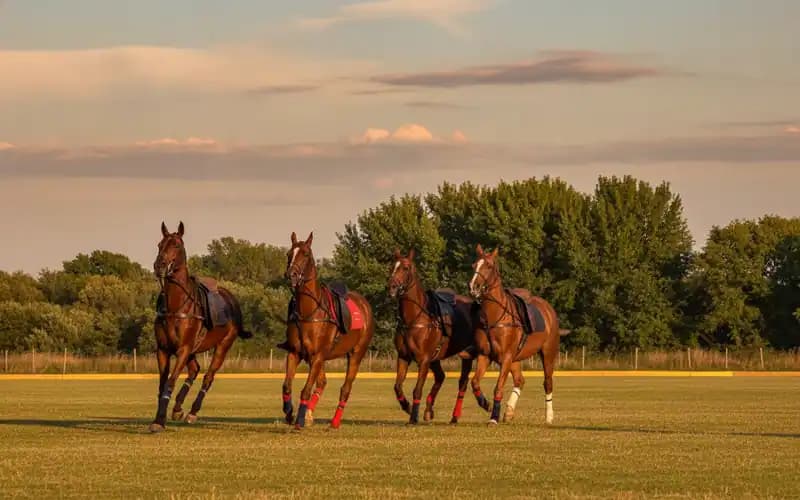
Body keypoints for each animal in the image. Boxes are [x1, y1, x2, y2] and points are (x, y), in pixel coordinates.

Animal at [149, 221, 252, 433]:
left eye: (176, 245)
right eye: (159, 244)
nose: (159, 266)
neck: (176, 305)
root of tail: (232, 299)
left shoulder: (183, 348)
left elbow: (170, 382)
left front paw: (160, 420)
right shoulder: (163, 349)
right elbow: (162, 384)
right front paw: (158, 419)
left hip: (223, 345)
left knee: (208, 376)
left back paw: (192, 412)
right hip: (193, 350)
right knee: (195, 369)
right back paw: (178, 408)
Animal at [279, 231, 375, 430]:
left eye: (305, 254)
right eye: (289, 254)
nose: (291, 275)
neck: (308, 311)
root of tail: (364, 303)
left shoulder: (317, 355)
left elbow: (306, 390)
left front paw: (299, 421)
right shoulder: (295, 353)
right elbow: (287, 385)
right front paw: (290, 413)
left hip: (356, 354)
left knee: (345, 388)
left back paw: (334, 421)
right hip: (320, 358)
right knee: (322, 382)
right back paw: (308, 414)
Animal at [388, 248, 484, 424]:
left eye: (405, 268)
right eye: (393, 266)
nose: (392, 286)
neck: (414, 318)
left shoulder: (424, 359)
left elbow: (417, 389)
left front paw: (413, 416)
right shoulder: (404, 357)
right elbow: (397, 386)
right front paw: (407, 406)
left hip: (466, 354)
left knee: (462, 383)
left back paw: (454, 416)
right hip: (436, 358)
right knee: (441, 377)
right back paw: (428, 410)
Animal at [468, 244, 569, 425]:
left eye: (489, 266)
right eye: (474, 265)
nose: (474, 287)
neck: (494, 316)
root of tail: (548, 308)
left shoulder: (506, 357)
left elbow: (498, 387)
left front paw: (493, 417)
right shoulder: (484, 355)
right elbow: (474, 382)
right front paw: (485, 403)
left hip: (548, 353)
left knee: (547, 383)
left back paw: (549, 417)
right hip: (516, 358)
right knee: (520, 380)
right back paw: (509, 411)